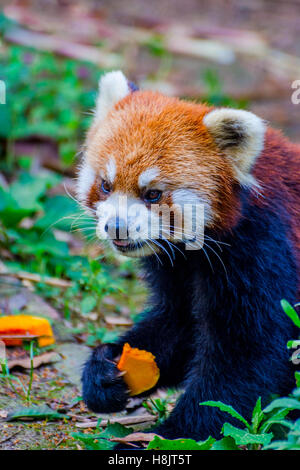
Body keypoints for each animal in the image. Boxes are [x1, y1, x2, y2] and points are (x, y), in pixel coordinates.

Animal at [78, 70, 300, 440]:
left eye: (153, 194)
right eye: (106, 185)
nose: (117, 228)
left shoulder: (264, 249)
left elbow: (247, 357)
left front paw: (173, 433)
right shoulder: (178, 266)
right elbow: (178, 325)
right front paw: (102, 370)